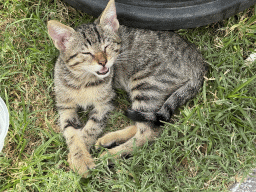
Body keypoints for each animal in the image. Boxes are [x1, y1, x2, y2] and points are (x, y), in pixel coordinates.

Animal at [48, 0, 208, 177]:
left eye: (106, 47)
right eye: (87, 53)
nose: (103, 62)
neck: (83, 80)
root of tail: (198, 62)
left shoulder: (105, 103)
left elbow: (89, 129)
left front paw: (81, 160)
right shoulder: (65, 106)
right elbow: (71, 133)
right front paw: (78, 156)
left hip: (146, 84)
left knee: (148, 132)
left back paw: (110, 155)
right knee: (147, 121)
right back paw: (109, 139)